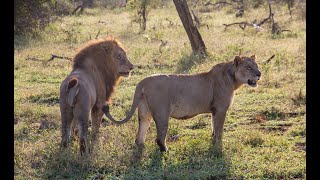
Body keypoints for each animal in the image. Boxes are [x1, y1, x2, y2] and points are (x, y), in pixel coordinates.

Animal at [102, 55, 260, 152]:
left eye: (256, 66)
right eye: (248, 67)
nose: (259, 74)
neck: (233, 79)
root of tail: (143, 81)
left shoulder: (215, 110)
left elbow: (214, 127)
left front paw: (214, 142)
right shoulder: (221, 109)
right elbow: (219, 129)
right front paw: (219, 147)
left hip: (144, 111)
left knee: (140, 133)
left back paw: (141, 147)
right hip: (162, 113)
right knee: (159, 137)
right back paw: (165, 150)